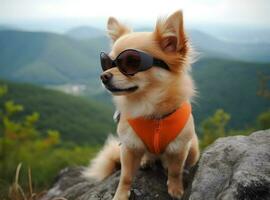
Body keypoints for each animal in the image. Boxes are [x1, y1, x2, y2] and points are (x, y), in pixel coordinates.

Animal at [84, 9, 200, 200]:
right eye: (107, 63)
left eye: (130, 62)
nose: (103, 76)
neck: (149, 108)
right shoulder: (128, 147)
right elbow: (125, 176)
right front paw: (121, 195)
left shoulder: (179, 148)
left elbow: (176, 171)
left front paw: (176, 189)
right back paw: (146, 160)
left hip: (193, 150)